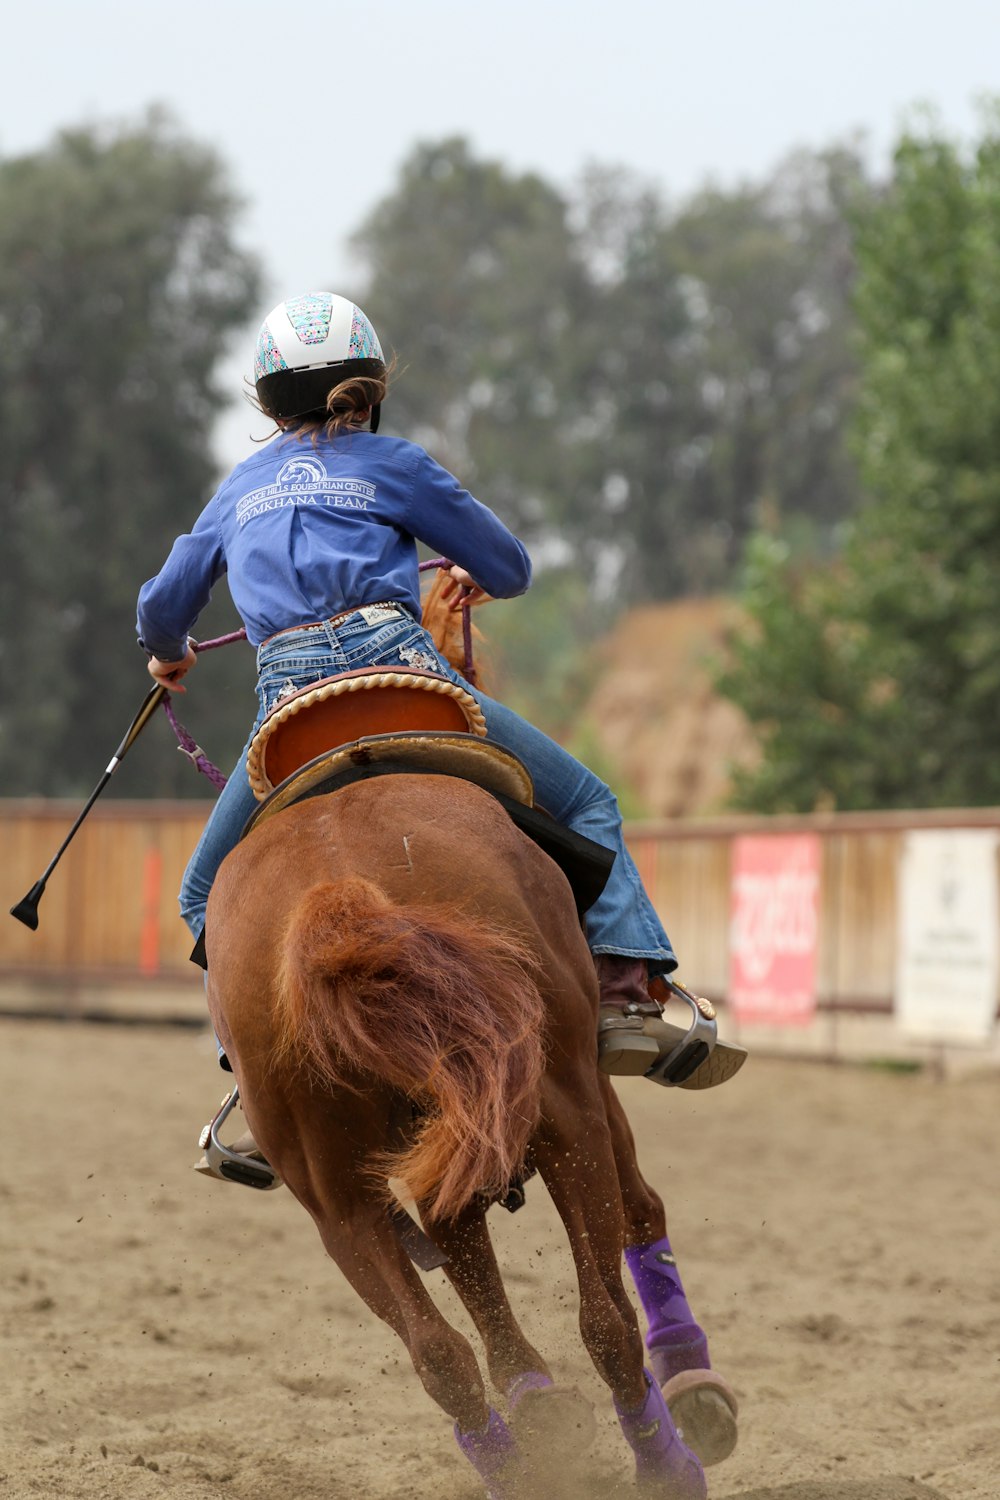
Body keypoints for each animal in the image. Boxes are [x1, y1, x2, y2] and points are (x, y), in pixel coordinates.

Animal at [206, 774, 716, 1500]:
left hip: (338, 1201)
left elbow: (468, 1267)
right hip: (566, 1105)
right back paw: (666, 1466)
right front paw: (690, 1377)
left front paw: (536, 1399)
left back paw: (522, 1464)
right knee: (607, 1317)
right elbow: (641, 1208)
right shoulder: (588, 1090)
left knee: (439, 1355)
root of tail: (336, 883)